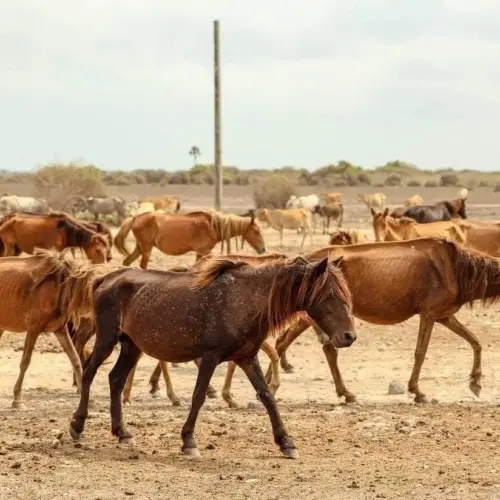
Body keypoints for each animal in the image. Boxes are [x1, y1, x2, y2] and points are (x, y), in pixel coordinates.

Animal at [0, 250, 106, 410]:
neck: (61, 286)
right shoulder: (33, 329)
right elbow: (25, 361)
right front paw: (17, 399)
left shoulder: (60, 330)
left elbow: (75, 359)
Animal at [69, 254, 356, 458]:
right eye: (328, 295)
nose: (349, 336)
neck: (244, 300)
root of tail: (104, 280)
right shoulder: (209, 358)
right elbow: (198, 397)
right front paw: (188, 441)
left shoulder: (248, 358)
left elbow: (267, 397)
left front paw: (286, 443)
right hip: (107, 340)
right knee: (89, 373)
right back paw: (77, 426)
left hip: (131, 346)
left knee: (115, 380)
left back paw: (122, 432)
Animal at [115, 210, 268, 268]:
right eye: (256, 231)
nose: (263, 249)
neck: (212, 225)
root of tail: (135, 218)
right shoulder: (205, 251)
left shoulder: (199, 253)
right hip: (147, 248)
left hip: (139, 248)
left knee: (126, 262)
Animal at [272, 236, 500, 404]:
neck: (456, 268)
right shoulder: (429, 314)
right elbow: (421, 352)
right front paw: (417, 392)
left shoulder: (444, 315)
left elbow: (475, 341)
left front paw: (476, 382)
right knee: (321, 347)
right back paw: (345, 393)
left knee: (283, 341)